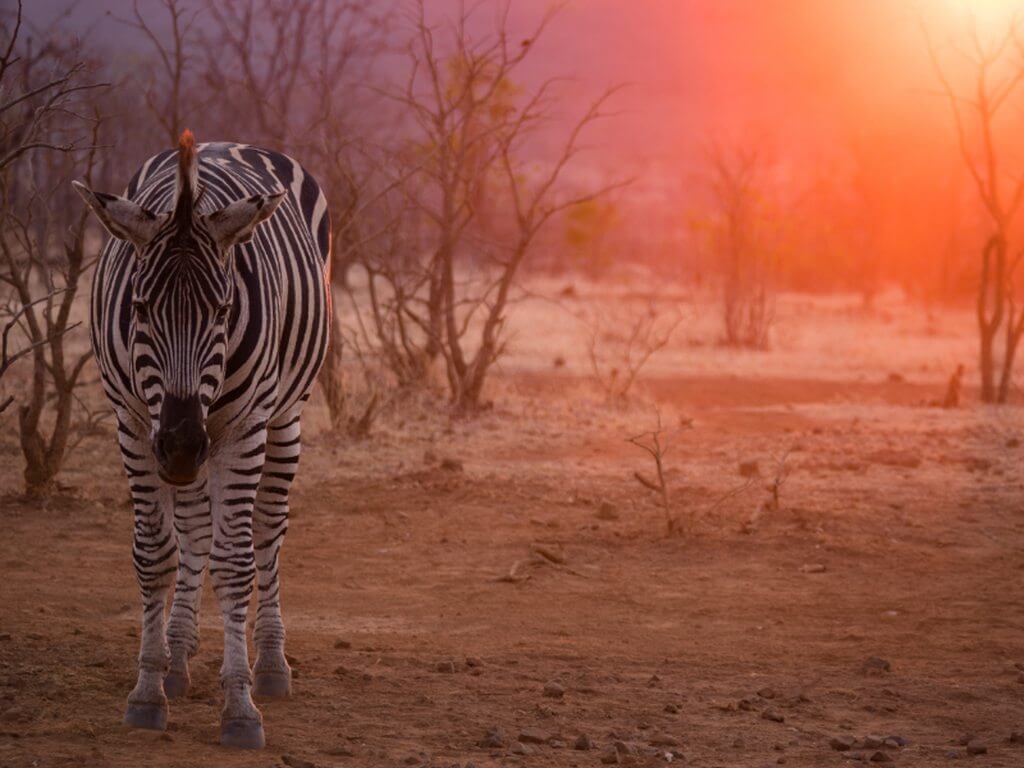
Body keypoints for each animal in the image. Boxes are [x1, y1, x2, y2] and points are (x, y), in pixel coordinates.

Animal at [72, 132, 327, 753]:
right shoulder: (133, 423)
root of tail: (227, 142)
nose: (185, 444)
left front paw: (240, 707)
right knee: (192, 531)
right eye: (140, 308)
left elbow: (235, 563)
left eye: (224, 309)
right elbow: (155, 555)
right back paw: (178, 654)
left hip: (285, 416)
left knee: (267, 533)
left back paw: (270, 664)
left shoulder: (241, 428)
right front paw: (147, 690)